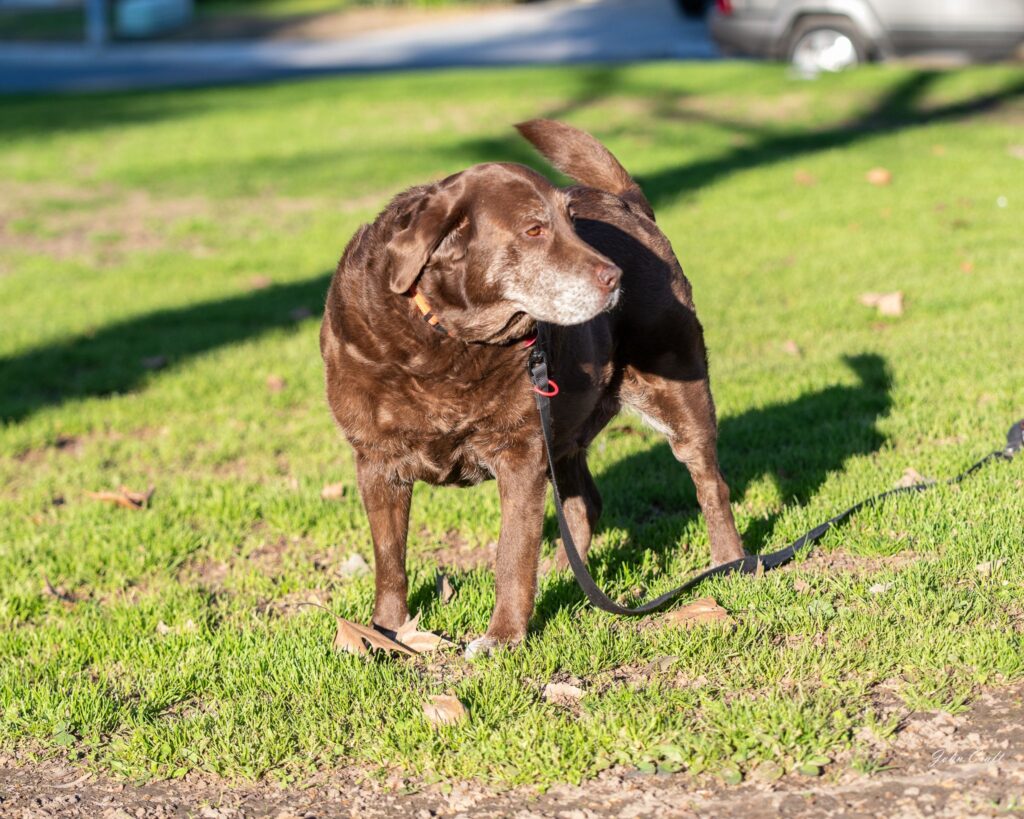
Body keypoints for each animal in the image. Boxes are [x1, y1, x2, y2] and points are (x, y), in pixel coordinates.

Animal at [320, 119, 746, 657]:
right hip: (562, 431)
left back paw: (730, 563)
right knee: (585, 504)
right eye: (534, 230)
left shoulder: (520, 454)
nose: (616, 277)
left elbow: (513, 553)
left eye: (571, 223)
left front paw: (503, 636)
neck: (444, 338)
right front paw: (385, 632)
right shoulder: (377, 461)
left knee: (710, 484)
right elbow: (389, 559)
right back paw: (569, 577)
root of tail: (629, 204)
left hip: (678, 394)